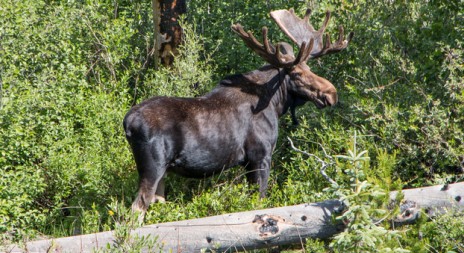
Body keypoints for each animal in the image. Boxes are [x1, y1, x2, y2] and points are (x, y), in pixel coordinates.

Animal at [123, 8, 352, 213]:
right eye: (296, 74)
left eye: (310, 69)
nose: (331, 93)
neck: (275, 103)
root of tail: (128, 123)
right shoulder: (260, 155)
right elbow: (259, 200)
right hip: (153, 166)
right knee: (136, 208)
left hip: (163, 171)